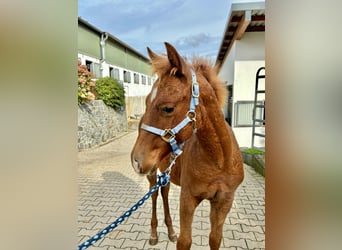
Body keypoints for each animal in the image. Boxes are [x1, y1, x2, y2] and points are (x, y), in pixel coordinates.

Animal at [130, 42, 244, 249]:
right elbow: (185, 241)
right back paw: (154, 234)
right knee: (154, 194)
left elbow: (215, 239)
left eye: (168, 108)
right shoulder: (188, 198)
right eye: (146, 102)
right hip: (152, 172)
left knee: (165, 190)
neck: (219, 160)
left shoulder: (224, 202)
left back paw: (170, 231)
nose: (136, 161)